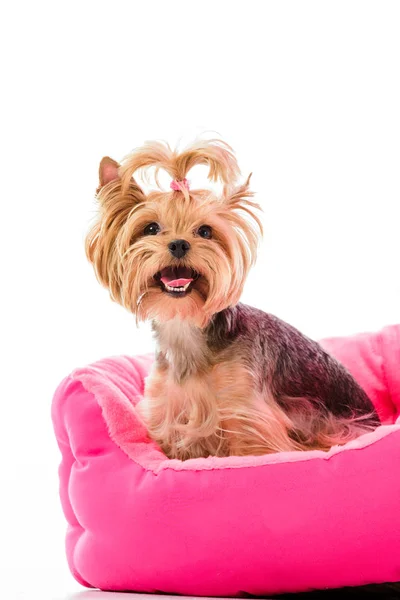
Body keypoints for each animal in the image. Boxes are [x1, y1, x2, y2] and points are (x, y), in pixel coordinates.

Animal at [85, 139, 378, 460]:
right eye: (151, 228)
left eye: (205, 231)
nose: (179, 244)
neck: (186, 327)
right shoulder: (167, 414)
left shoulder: (248, 415)